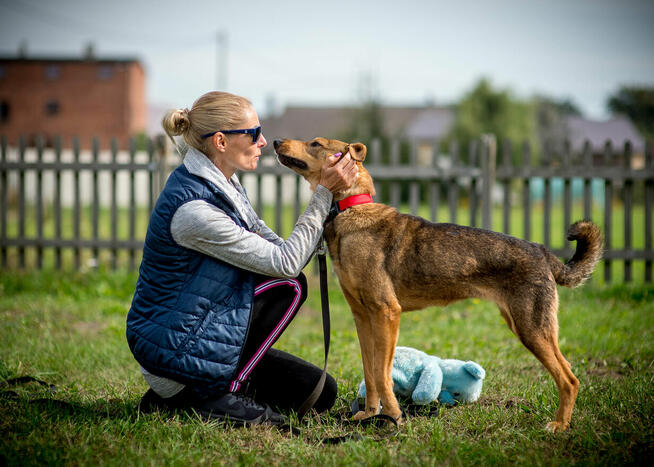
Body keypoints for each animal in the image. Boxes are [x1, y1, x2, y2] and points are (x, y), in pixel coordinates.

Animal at [272, 137, 604, 434]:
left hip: (532, 329)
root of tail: (543, 251)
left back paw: (559, 425)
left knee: (569, 379)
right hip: (524, 324)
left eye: (316, 143)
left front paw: (393, 417)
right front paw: (369, 415)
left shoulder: (387, 312)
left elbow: (381, 373)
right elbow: (370, 370)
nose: (275, 141)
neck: (350, 210)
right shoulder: (362, 316)